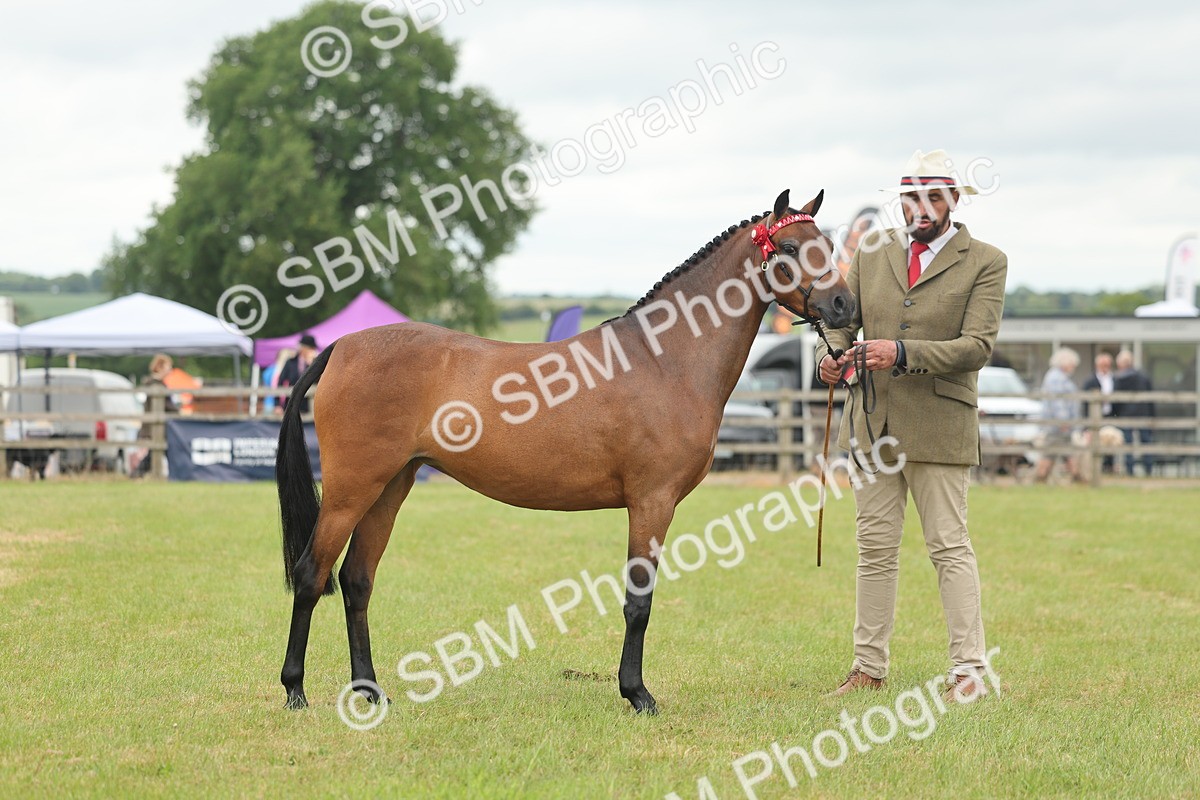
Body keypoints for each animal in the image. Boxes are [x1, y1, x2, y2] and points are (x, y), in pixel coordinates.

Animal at [277, 189, 856, 714]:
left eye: (828, 244)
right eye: (788, 248)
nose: (845, 306)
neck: (664, 361)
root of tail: (343, 346)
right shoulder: (652, 502)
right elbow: (639, 602)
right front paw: (637, 694)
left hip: (390, 487)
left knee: (356, 581)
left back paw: (370, 692)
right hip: (351, 490)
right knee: (312, 575)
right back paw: (295, 690)